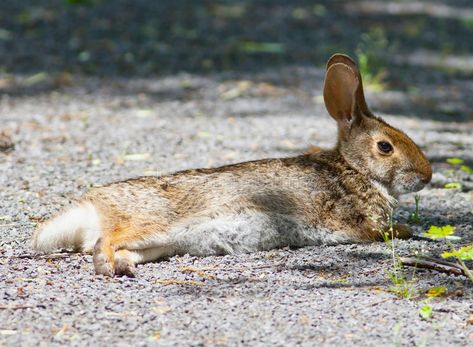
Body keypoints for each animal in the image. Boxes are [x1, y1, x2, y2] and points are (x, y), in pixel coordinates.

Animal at [32, 54, 432, 278]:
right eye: (385, 147)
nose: (427, 176)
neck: (355, 170)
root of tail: (90, 207)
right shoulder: (359, 223)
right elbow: (384, 232)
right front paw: (409, 231)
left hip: (158, 244)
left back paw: (124, 267)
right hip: (148, 223)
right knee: (104, 241)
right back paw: (107, 266)